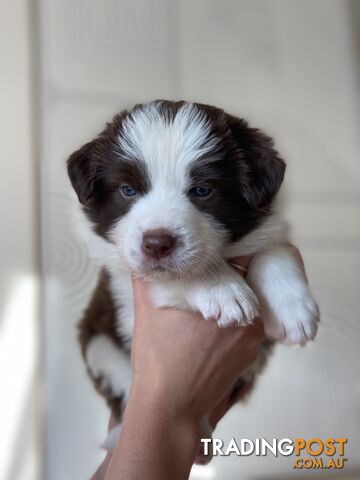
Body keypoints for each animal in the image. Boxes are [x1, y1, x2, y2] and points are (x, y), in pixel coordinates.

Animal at [66, 100, 320, 458]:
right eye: (128, 190)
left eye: (202, 190)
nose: (156, 244)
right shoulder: (122, 282)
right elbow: (183, 272)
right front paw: (223, 290)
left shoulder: (268, 229)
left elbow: (275, 250)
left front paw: (293, 311)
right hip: (97, 344)